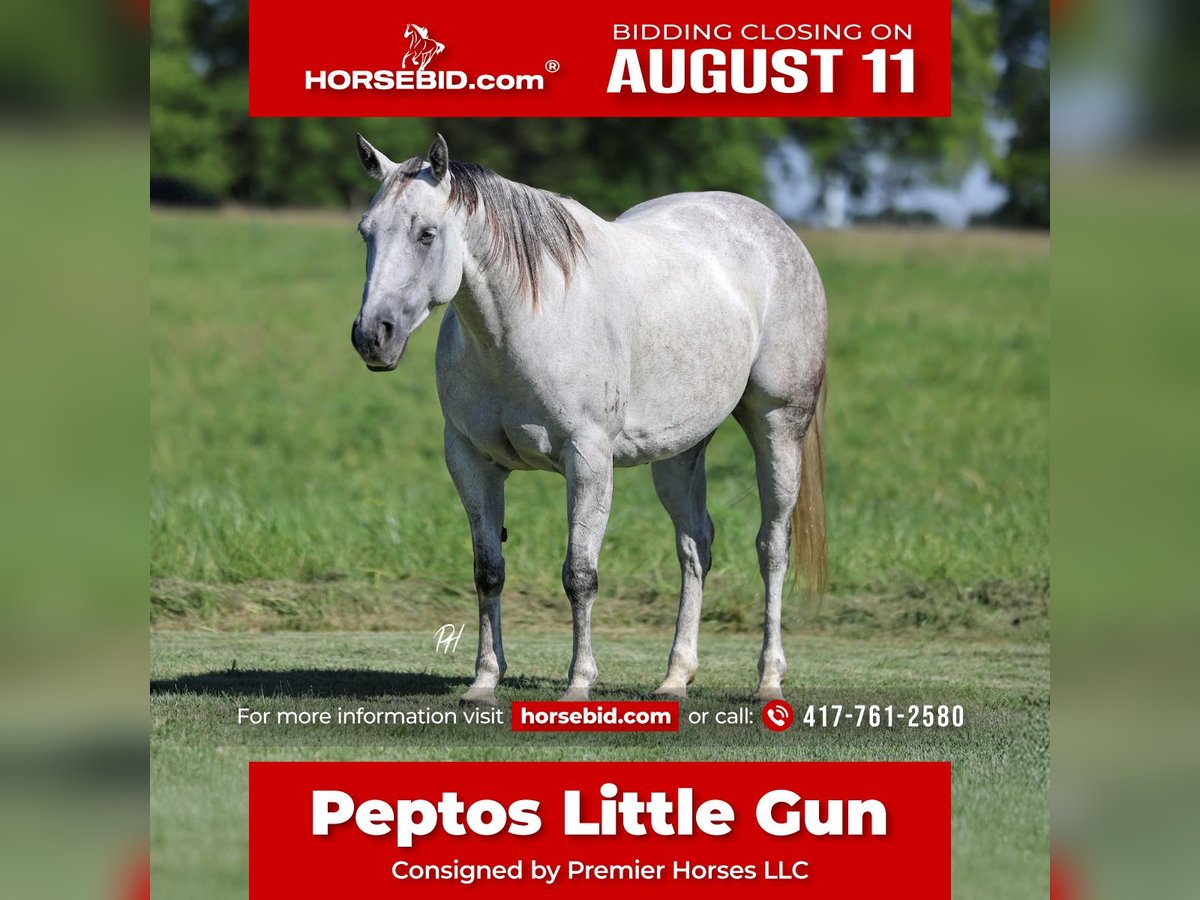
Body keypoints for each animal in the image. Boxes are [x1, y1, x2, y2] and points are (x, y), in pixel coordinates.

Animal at [350, 133, 827, 704]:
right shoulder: (470, 460)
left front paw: (579, 683)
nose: (372, 336)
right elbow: (488, 570)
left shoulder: (588, 459)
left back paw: (769, 679)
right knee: (695, 546)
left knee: (771, 546)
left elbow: (580, 574)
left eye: (426, 234)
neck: (524, 324)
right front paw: (484, 681)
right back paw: (675, 678)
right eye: (365, 233)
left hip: (779, 426)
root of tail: (777, 230)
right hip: (680, 450)